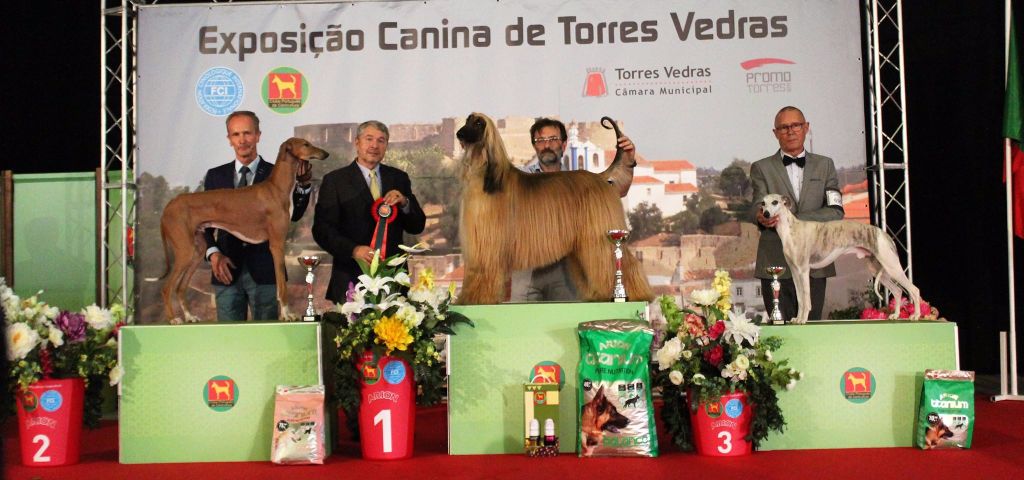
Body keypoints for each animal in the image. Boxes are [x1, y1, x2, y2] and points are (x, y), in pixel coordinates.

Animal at [159, 136, 327, 323]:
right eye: (306, 144)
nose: (326, 153)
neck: (277, 188)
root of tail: (169, 205)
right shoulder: (277, 244)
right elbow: (282, 286)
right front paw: (287, 314)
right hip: (185, 250)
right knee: (166, 288)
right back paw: (173, 319)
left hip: (197, 251)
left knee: (180, 288)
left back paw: (189, 317)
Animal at [454, 112, 651, 302]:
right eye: (467, 120)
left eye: (478, 123)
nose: (459, 134)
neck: (485, 174)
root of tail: (600, 176)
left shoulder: (487, 245)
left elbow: (483, 273)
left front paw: (476, 299)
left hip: (601, 235)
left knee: (624, 263)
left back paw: (636, 294)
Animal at [761, 192, 921, 323]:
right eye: (763, 203)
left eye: (775, 202)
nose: (766, 214)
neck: (790, 229)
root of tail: (885, 234)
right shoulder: (795, 272)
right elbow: (800, 299)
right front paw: (797, 318)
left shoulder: (803, 270)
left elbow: (806, 300)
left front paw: (803, 319)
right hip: (878, 270)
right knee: (898, 291)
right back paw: (896, 315)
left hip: (892, 267)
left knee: (914, 289)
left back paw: (916, 315)